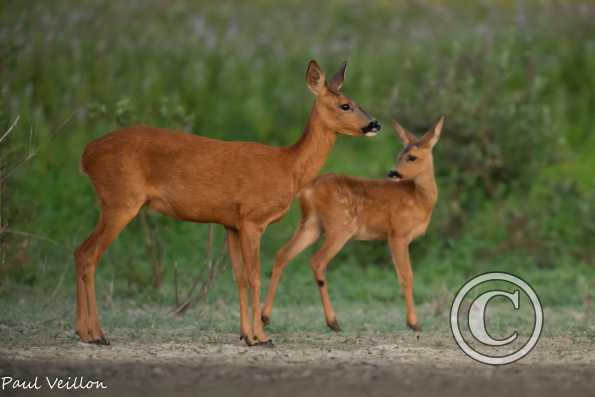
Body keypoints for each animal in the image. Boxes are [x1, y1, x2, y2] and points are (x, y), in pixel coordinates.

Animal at [74, 60, 382, 344]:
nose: (375, 124)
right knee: (89, 254)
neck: (289, 167)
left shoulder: (231, 224)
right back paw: (96, 334)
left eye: (356, 101)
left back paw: (83, 331)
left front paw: (247, 335)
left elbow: (239, 278)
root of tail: (86, 154)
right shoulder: (252, 219)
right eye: (345, 105)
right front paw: (262, 337)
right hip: (121, 200)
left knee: (80, 251)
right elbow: (255, 275)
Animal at [264, 115, 444, 332]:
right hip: (340, 226)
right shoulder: (397, 233)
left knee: (282, 254)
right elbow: (406, 276)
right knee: (317, 261)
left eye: (411, 157)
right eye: (399, 155)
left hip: (311, 225)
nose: (392, 173)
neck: (419, 199)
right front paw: (414, 323)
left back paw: (265, 317)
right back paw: (333, 322)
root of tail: (306, 191)